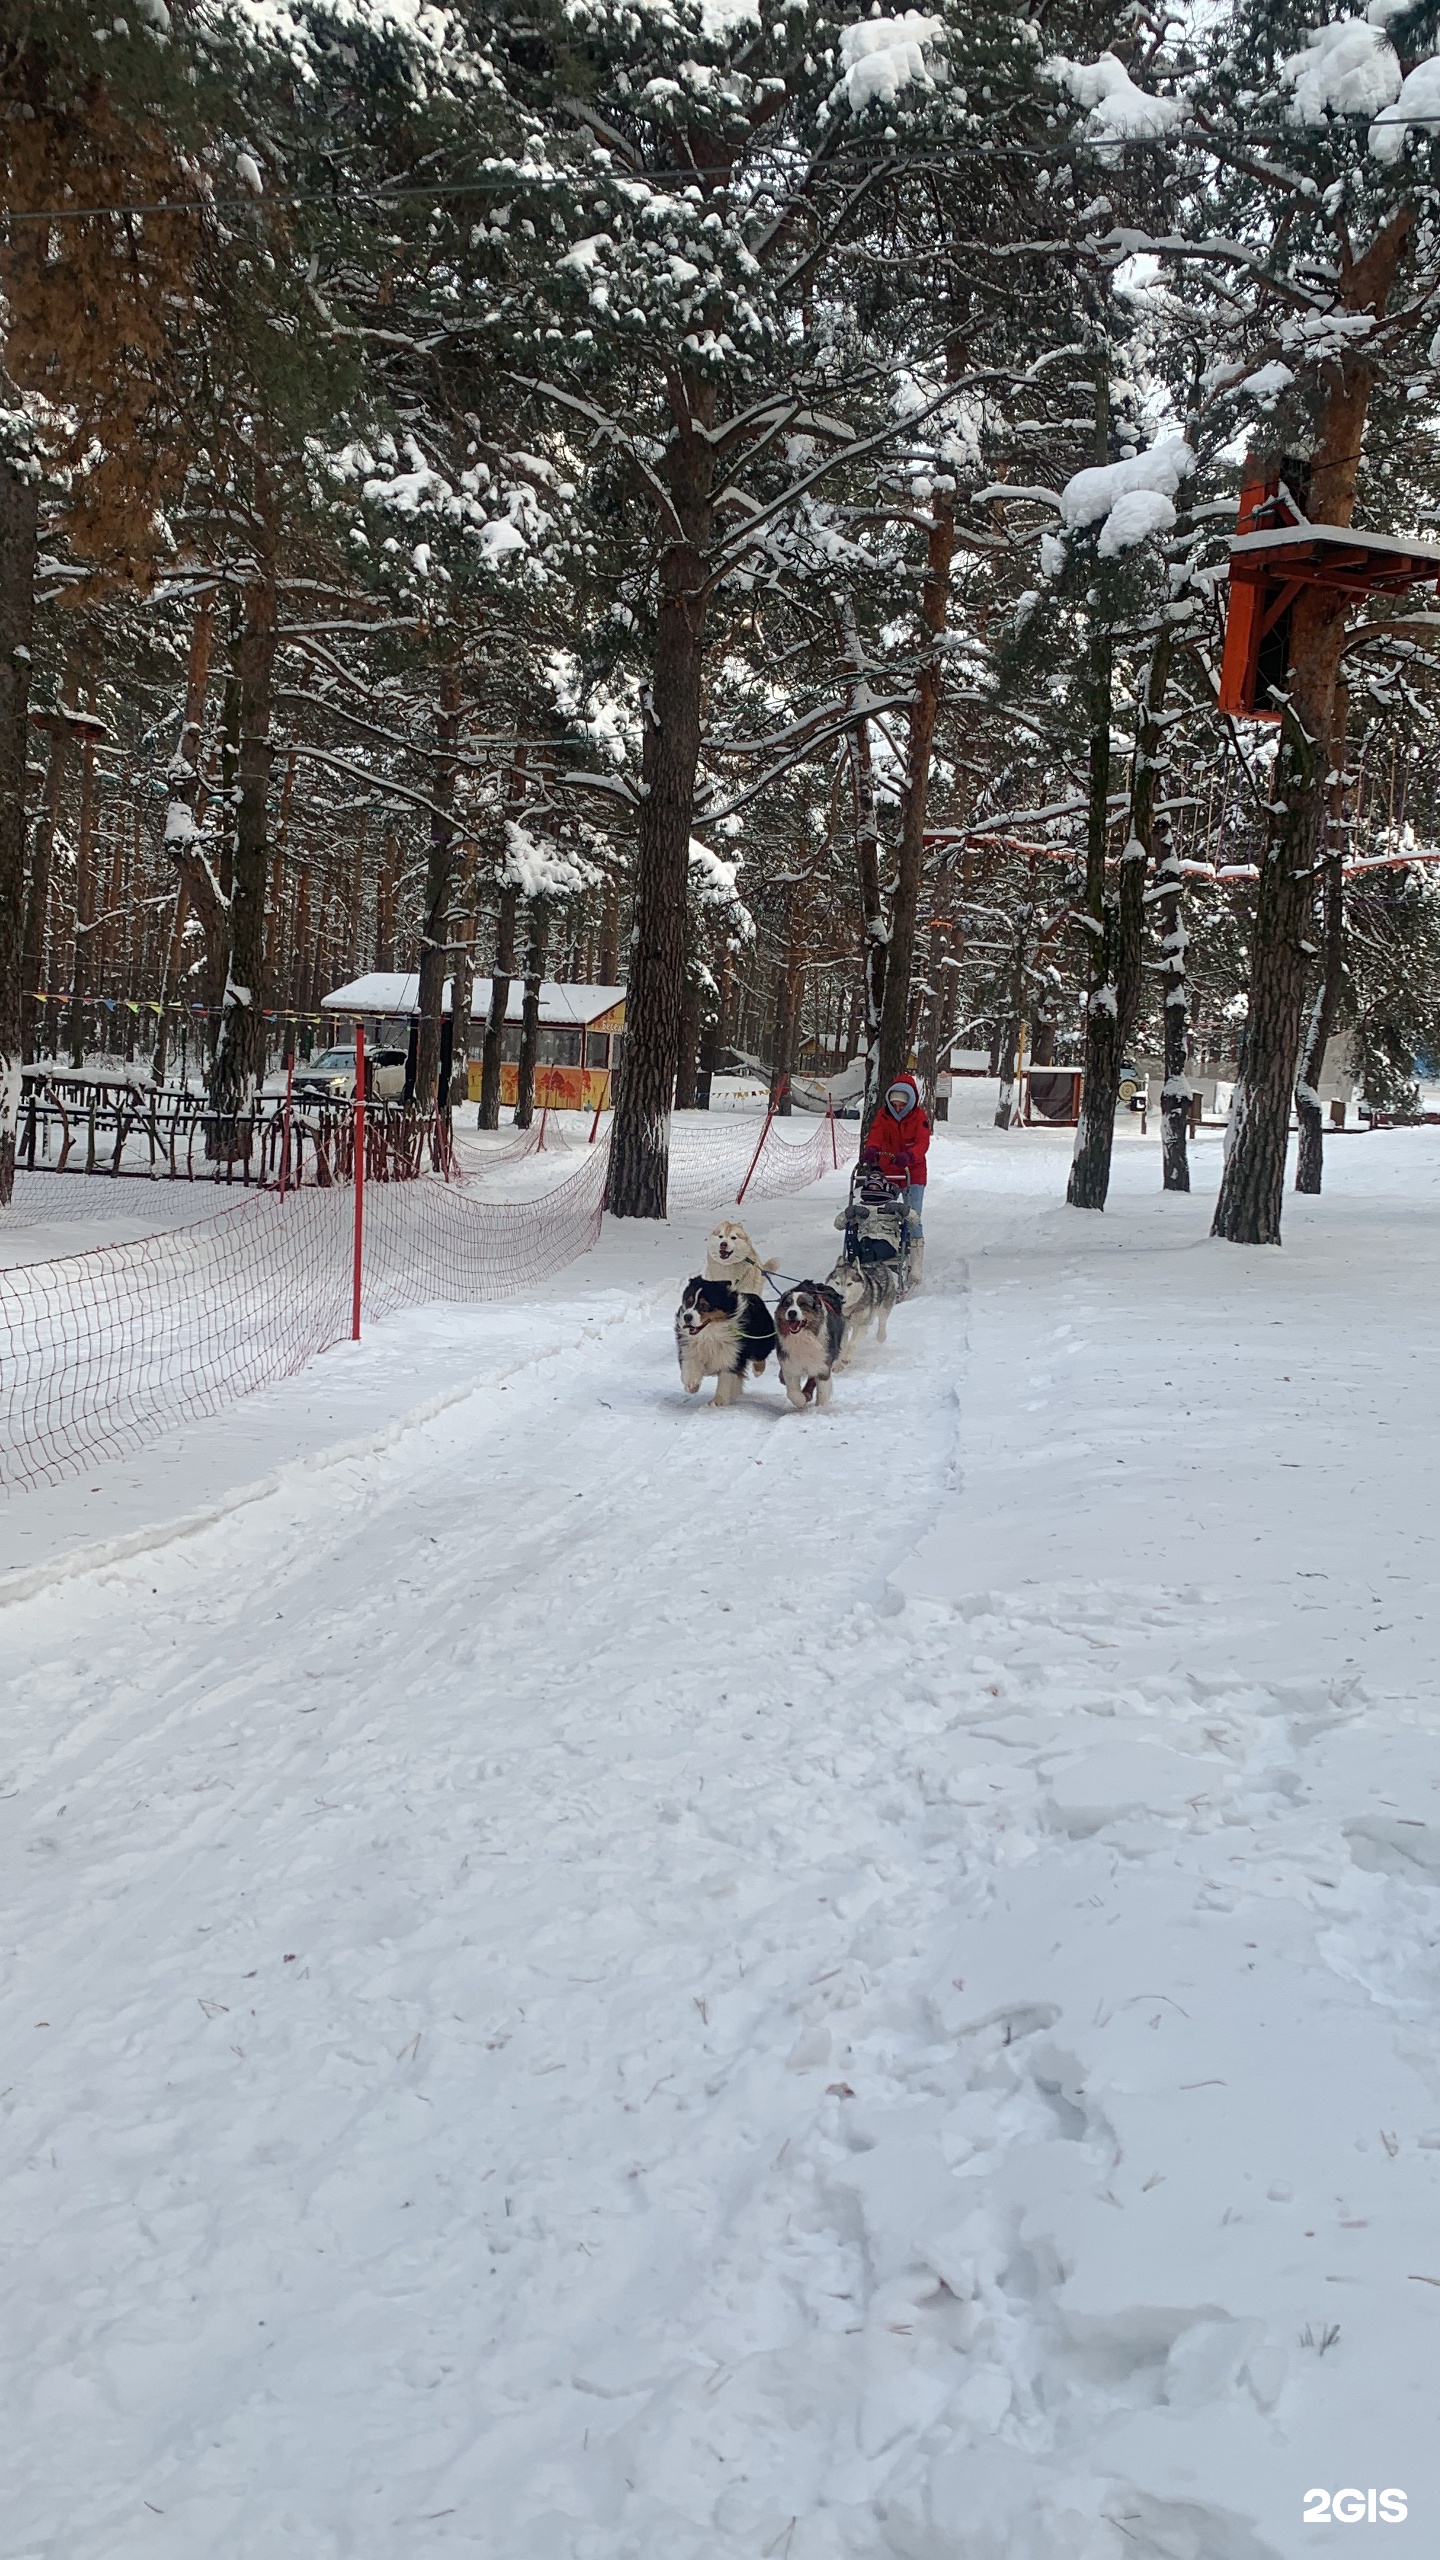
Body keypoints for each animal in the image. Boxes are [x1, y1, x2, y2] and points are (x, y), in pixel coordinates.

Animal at [671, 1274, 773, 1413]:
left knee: (760, 1357)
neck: (710, 1334)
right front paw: (692, 1385)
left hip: (762, 1340)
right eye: (688, 1301)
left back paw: (757, 1371)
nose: (687, 1317)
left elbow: (726, 1379)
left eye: (704, 1305)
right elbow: (689, 1365)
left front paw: (717, 1402)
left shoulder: (731, 1355)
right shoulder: (690, 1348)